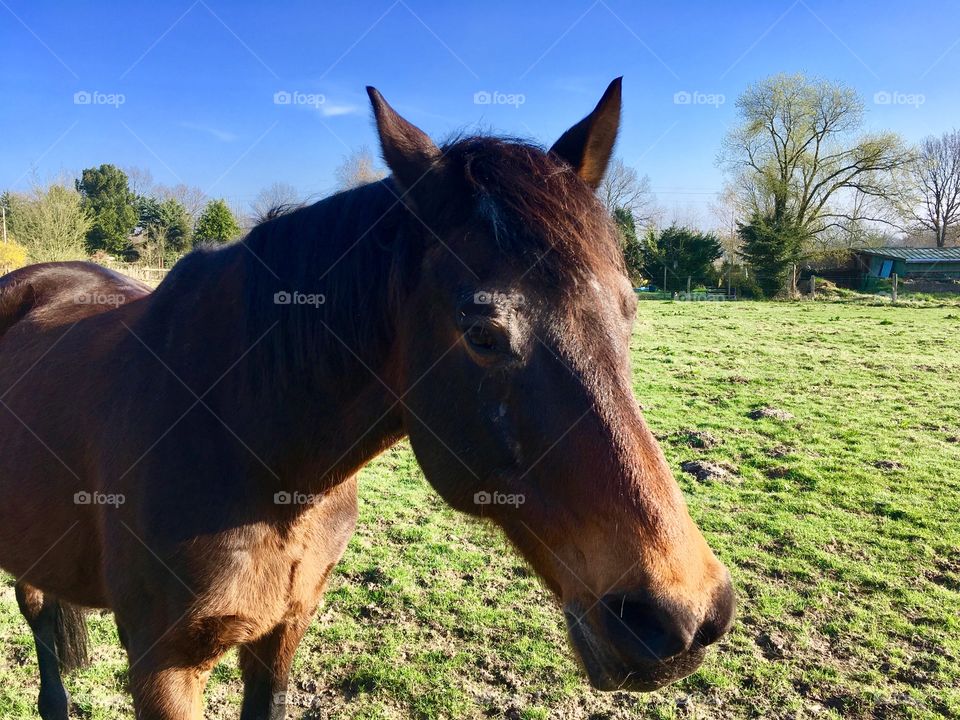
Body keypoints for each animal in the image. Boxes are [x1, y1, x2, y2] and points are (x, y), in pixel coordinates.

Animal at [0, 78, 734, 719]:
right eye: (483, 333)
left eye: (629, 311)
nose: (682, 617)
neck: (244, 438)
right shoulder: (163, 667)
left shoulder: (281, 635)